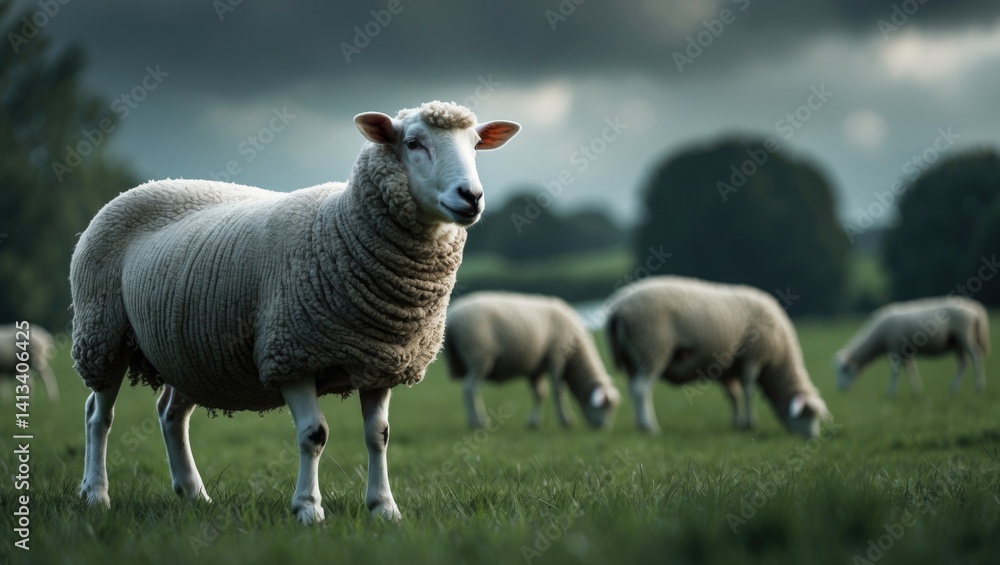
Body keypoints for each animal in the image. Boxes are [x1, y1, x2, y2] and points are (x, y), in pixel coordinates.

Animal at [69, 100, 520, 525]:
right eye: (413, 143)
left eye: (476, 146)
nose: (471, 197)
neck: (341, 225)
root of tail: (147, 185)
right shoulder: (291, 353)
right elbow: (313, 435)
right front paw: (307, 508)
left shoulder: (381, 360)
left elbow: (380, 436)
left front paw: (384, 508)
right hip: (102, 333)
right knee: (97, 415)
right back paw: (96, 495)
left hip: (188, 352)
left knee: (170, 415)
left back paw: (194, 493)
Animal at [443, 292, 621, 430]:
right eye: (605, 406)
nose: (605, 427)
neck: (575, 356)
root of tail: (452, 318)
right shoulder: (556, 358)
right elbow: (558, 391)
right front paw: (565, 421)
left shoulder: (535, 368)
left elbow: (539, 393)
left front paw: (534, 422)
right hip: (479, 357)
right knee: (470, 388)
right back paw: (478, 422)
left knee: (467, 388)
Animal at [605, 276, 831, 438]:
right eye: (807, 414)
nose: (813, 438)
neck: (778, 361)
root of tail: (618, 308)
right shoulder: (753, 357)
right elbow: (748, 391)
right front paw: (750, 424)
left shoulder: (727, 368)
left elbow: (733, 395)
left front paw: (737, 423)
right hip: (652, 348)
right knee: (641, 389)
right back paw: (649, 427)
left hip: (632, 358)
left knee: (633, 388)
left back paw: (640, 425)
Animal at [834, 296, 990, 396]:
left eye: (844, 369)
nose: (840, 388)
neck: (879, 338)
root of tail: (974, 308)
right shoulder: (906, 351)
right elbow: (910, 370)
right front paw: (916, 391)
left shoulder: (896, 349)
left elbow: (894, 372)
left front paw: (890, 392)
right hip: (956, 342)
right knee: (963, 363)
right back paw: (953, 389)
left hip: (964, 335)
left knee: (976, 357)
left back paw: (978, 387)